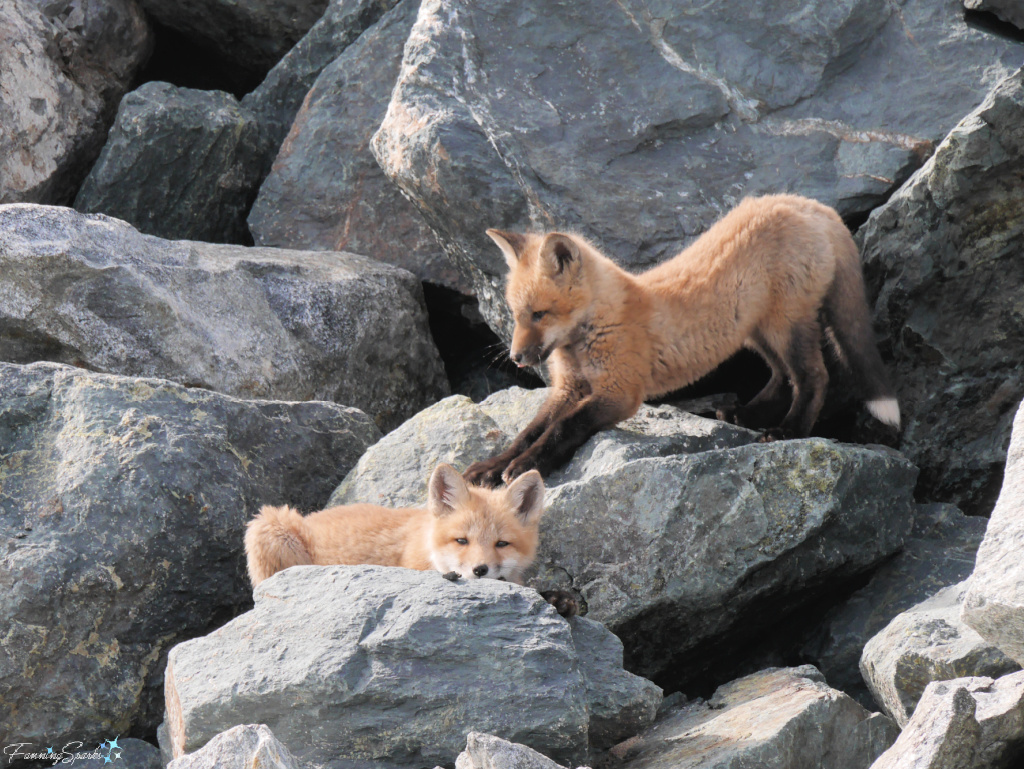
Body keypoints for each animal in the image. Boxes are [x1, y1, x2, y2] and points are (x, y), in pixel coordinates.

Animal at [464, 194, 900, 487]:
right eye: (516, 314)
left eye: (539, 314)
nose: (517, 358)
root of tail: (811, 204)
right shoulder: (568, 388)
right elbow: (529, 430)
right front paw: (492, 465)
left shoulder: (620, 392)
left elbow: (563, 428)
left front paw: (526, 466)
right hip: (755, 332)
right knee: (781, 376)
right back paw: (744, 416)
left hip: (786, 326)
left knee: (813, 377)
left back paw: (789, 431)